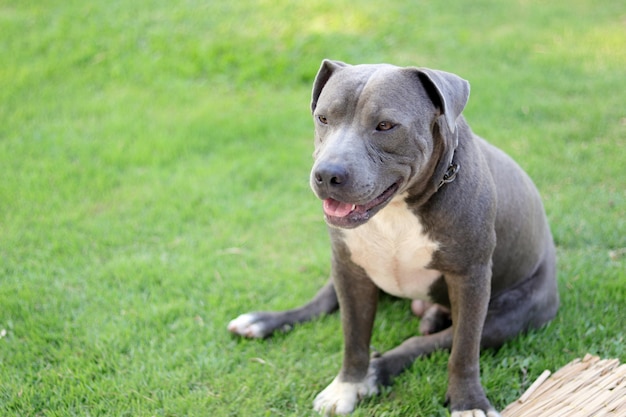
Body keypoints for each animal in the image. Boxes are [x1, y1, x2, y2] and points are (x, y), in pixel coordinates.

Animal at [227, 59, 560, 416]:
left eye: (385, 126)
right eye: (323, 118)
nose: (327, 174)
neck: (397, 209)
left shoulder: (470, 278)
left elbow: (463, 350)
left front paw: (469, 403)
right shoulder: (350, 271)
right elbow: (354, 338)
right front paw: (345, 387)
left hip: (510, 316)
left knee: (429, 341)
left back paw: (380, 370)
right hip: (342, 269)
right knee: (319, 304)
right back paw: (262, 322)